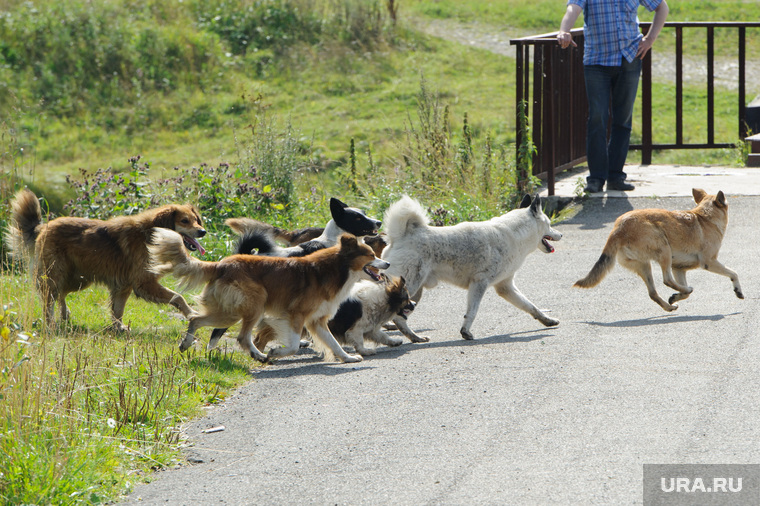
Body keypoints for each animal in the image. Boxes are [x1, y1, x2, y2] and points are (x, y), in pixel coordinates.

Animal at [5, 188, 208, 330]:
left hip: (78, 279)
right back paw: (52, 324)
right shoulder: (144, 282)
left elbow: (118, 310)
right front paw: (191, 313)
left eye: (196, 219)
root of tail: (42, 228)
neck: (150, 235)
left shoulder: (123, 286)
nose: (203, 231)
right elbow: (178, 296)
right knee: (48, 299)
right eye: (184, 221)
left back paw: (65, 315)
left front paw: (118, 328)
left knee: (60, 294)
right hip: (57, 274)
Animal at [148, 229, 388, 364]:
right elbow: (293, 344)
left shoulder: (316, 321)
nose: (386, 263)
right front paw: (276, 351)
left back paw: (186, 343)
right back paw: (260, 356)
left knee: (197, 319)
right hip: (255, 305)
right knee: (242, 337)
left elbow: (334, 344)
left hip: (229, 312)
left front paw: (348, 358)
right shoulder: (296, 315)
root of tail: (221, 265)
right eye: (371, 255)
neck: (338, 268)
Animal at [382, 193, 560, 340]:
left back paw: (411, 337)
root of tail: (401, 236)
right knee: (397, 317)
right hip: (410, 287)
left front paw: (547, 320)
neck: (515, 234)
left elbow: (531, 306)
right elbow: (472, 312)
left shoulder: (505, 287)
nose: (561, 234)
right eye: (549, 224)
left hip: (415, 293)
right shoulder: (479, 283)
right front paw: (465, 332)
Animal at [576, 188, 744, 310]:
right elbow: (734, 273)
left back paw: (670, 306)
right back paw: (685, 290)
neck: (705, 217)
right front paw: (738, 290)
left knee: (653, 292)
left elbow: (682, 291)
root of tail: (618, 229)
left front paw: (676, 296)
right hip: (664, 250)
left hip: (644, 265)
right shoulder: (709, 262)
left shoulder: (679, 269)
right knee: (666, 280)